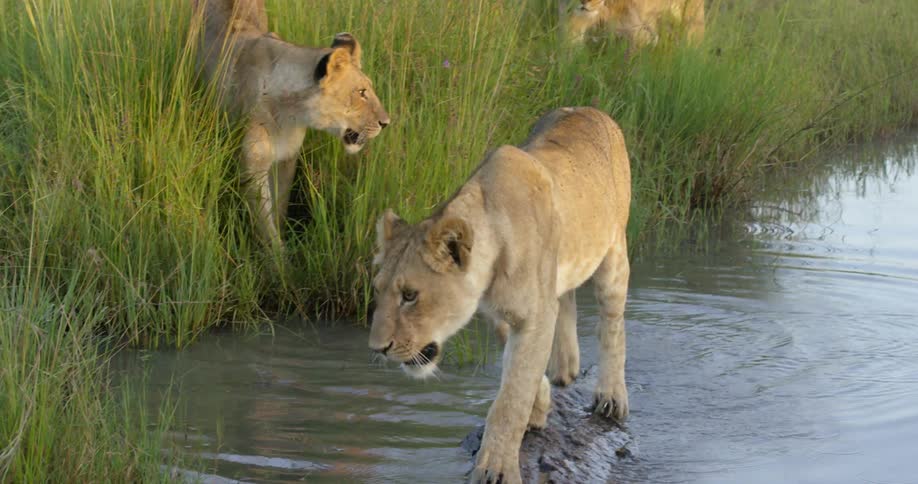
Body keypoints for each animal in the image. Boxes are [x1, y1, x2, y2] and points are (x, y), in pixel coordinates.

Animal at [193, 0, 390, 246]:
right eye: (361, 92)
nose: (386, 122)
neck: (289, 114)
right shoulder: (253, 167)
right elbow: (266, 224)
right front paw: (278, 255)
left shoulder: (287, 159)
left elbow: (280, 208)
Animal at [369, 107, 632, 483]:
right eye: (378, 291)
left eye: (409, 295)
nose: (378, 349)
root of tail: (589, 109)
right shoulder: (505, 316)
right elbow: (521, 378)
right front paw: (539, 405)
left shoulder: (534, 316)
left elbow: (510, 400)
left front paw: (496, 469)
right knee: (565, 299)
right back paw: (565, 367)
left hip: (614, 252)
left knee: (612, 324)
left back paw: (611, 398)